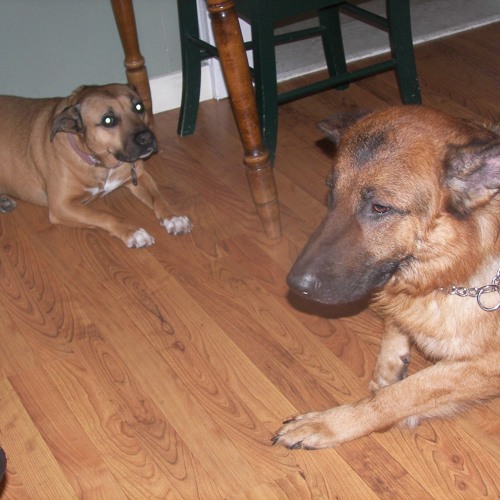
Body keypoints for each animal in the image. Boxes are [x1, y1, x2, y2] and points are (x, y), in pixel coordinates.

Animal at [0, 84, 192, 247]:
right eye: (108, 120)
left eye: (139, 107)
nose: (147, 137)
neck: (101, 163)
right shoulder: (61, 205)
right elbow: (105, 215)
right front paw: (133, 231)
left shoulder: (140, 177)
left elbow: (158, 198)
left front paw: (173, 218)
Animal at [273, 106, 500, 449]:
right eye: (332, 193)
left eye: (380, 207)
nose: (295, 286)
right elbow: (394, 327)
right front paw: (389, 365)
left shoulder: (487, 364)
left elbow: (404, 393)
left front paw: (330, 423)